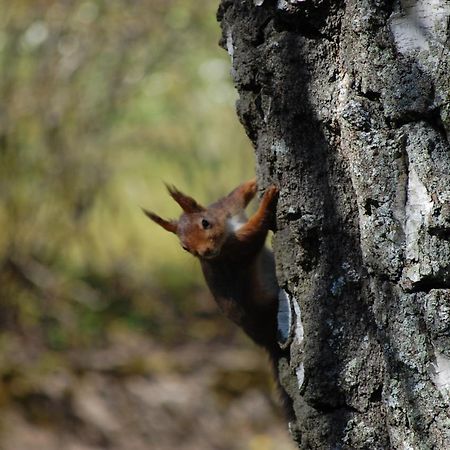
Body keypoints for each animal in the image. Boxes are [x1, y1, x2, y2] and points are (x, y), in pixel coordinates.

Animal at [142, 178, 294, 418]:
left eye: (205, 222)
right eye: (184, 247)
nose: (205, 252)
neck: (228, 229)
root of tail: (265, 341)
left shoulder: (227, 207)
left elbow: (238, 194)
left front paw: (255, 184)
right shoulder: (234, 252)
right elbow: (255, 232)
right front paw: (268, 200)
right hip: (266, 308)